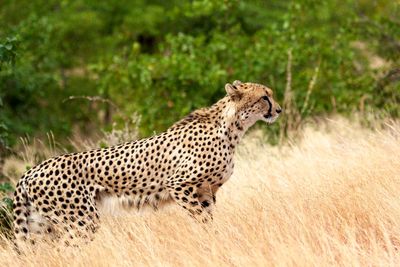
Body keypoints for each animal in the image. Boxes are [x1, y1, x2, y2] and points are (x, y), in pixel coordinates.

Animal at [12, 81, 282, 245]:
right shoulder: (179, 185)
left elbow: (208, 220)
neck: (232, 127)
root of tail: (31, 171)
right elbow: (202, 220)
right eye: (264, 97)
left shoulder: (207, 191)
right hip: (80, 220)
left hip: (41, 226)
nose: (279, 110)